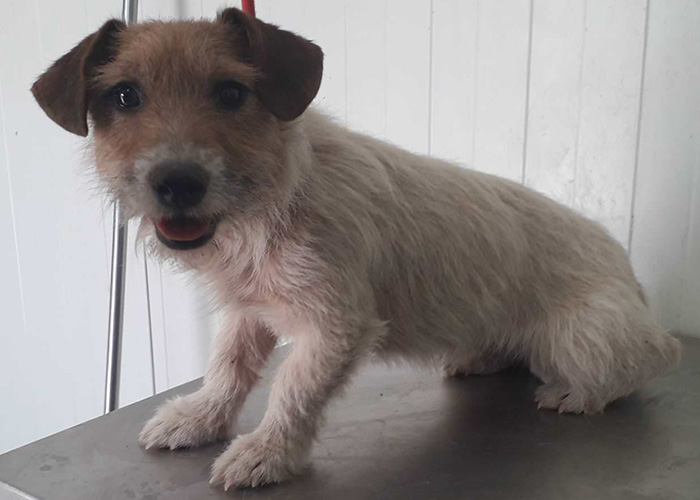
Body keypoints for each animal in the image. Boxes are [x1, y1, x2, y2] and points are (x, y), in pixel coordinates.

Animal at [32, 8, 681, 489]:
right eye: (124, 96)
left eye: (231, 92)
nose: (178, 182)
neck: (268, 202)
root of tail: (627, 272)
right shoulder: (247, 311)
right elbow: (226, 369)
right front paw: (200, 418)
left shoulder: (336, 325)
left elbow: (292, 390)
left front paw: (266, 453)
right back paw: (483, 355)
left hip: (583, 336)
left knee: (653, 357)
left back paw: (582, 389)